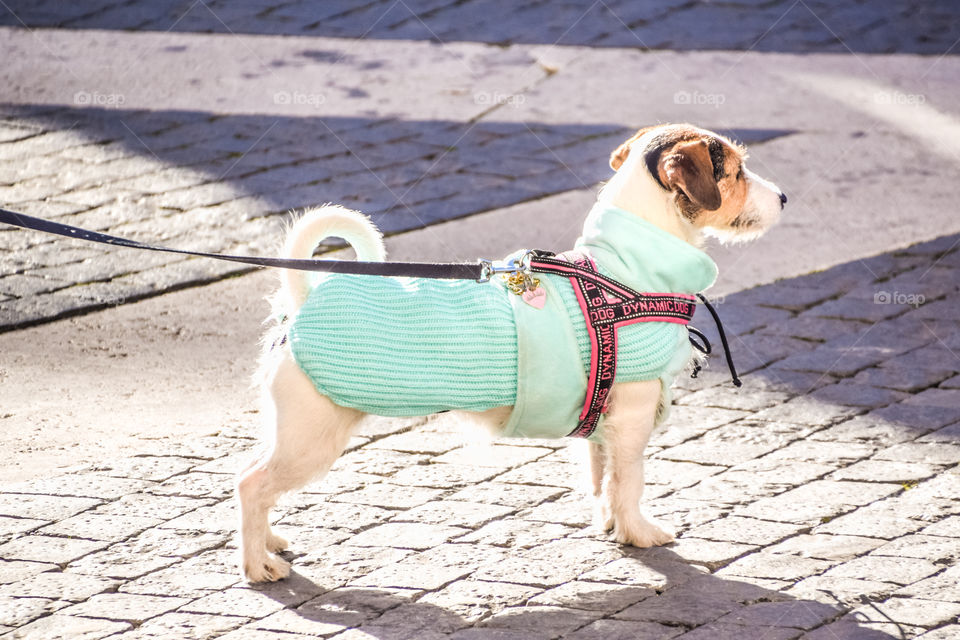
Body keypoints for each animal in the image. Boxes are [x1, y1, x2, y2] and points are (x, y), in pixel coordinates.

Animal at [236, 122, 784, 584]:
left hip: (291, 433)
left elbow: (601, 479)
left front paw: (610, 526)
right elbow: (629, 482)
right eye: (736, 172)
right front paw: (639, 533)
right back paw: (257, 566)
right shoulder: (632, 420)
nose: (783, 196)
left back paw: (270, 542)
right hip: (310, 441)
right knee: (251, 486)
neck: (624, 274)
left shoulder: (602, 425)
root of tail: (302, 302)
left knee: (253, 478)